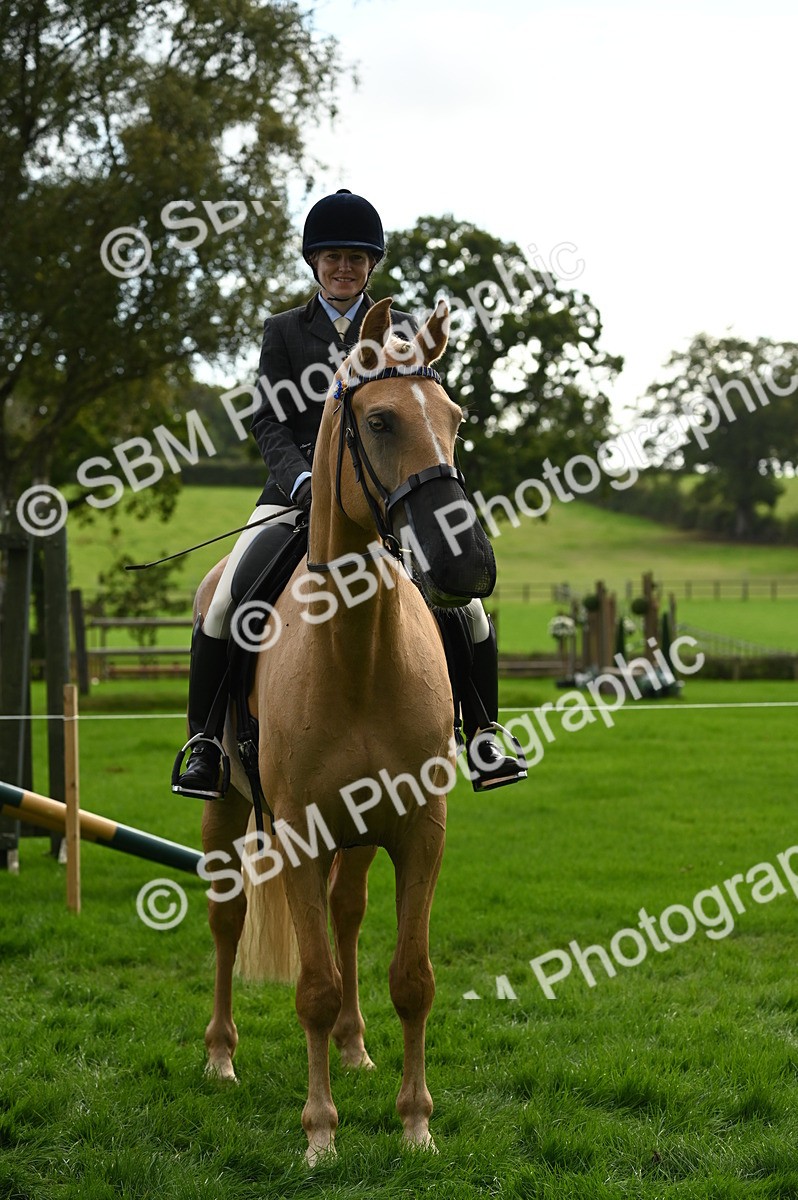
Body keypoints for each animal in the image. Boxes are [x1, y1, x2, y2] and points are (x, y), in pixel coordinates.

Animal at [195, 296, 496, 1163]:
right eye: (382, 420)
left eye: (455, 420)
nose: (468, 566)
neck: (358, 651)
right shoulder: (297, 832)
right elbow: (314, 987)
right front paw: (320, 1135)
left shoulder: (420, 829)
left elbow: (412, 978)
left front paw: (416, 1125)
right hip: (226, 806)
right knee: (228, 917)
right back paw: (221, 1058)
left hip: (358, 834)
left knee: (347, 914)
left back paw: (358, 1049)